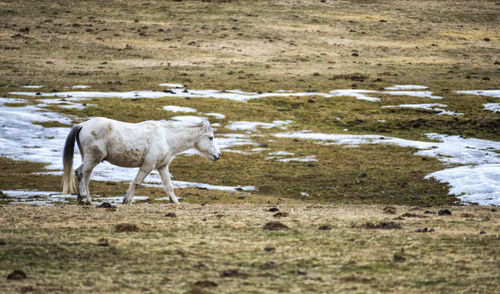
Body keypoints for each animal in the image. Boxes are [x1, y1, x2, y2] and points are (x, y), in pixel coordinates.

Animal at [61, 116, 221, 204]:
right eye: (210, 138)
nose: (218, 155)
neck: (166, 138)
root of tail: (82, 125)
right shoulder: (147, 166)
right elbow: (137, 182)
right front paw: (126, 201)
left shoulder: (162, 167)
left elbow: (168, 186)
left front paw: (175, 202)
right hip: (93, 158)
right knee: (80, 173)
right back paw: (83, 198)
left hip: (90, 159)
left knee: (86, 176)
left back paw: (87, 200)